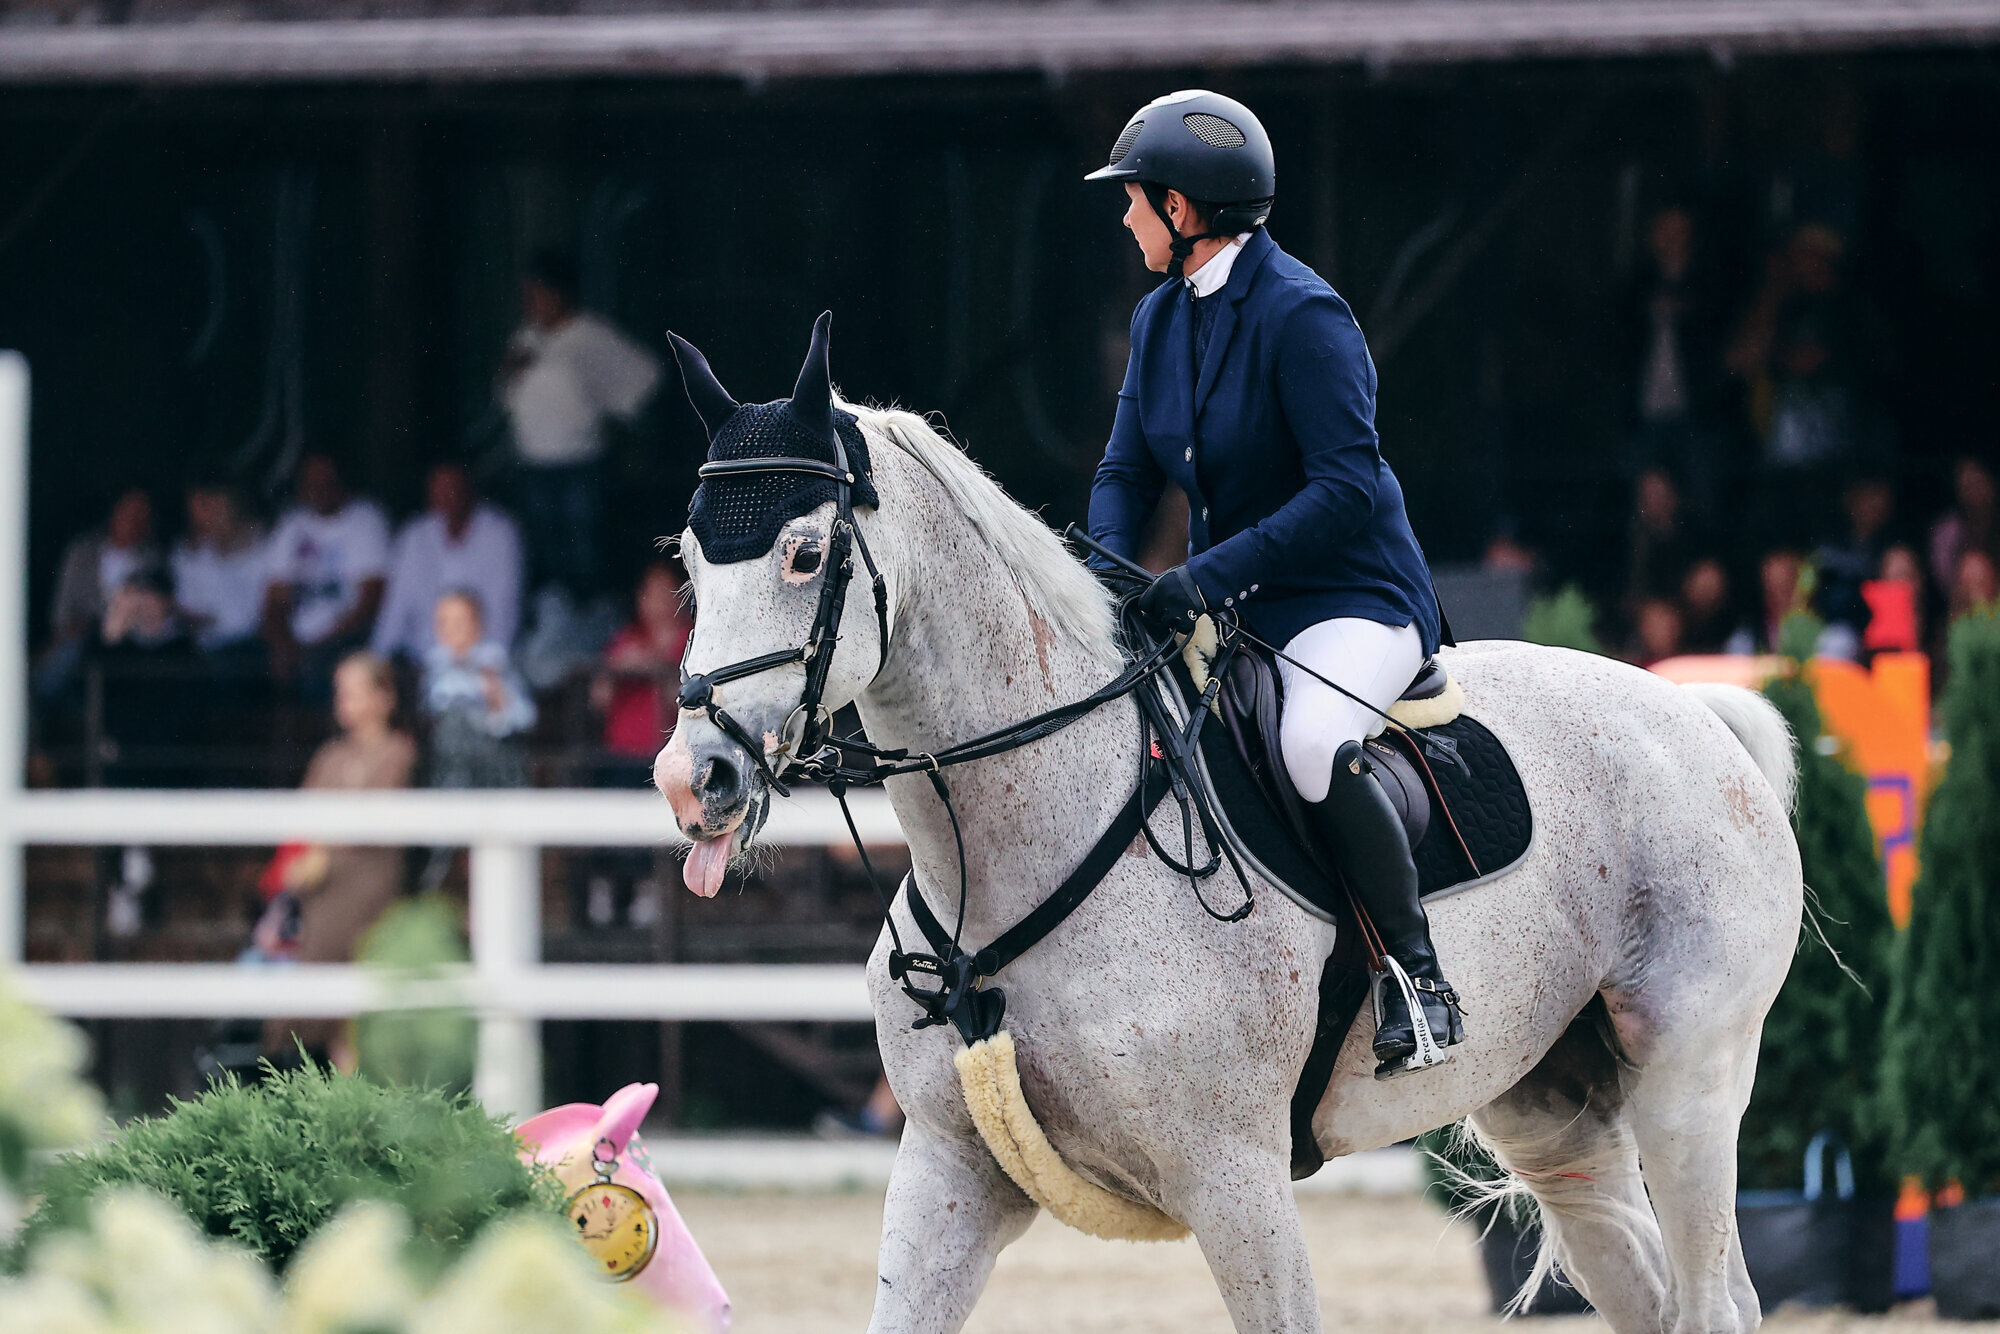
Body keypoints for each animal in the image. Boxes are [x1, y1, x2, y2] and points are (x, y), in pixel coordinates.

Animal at [652, 324, 1800, 1334]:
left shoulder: (1232, 1177)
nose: (693, 778)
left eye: (806, 555)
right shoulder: (948, 1167)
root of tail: (1695, 713)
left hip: (1688, 1077)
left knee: (1713, 1298)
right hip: (1552, 1105)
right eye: (693, 563)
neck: (1021, 845)